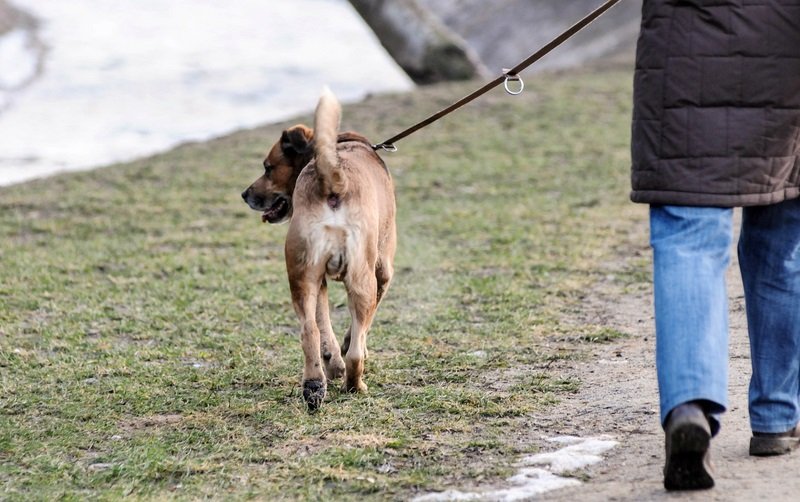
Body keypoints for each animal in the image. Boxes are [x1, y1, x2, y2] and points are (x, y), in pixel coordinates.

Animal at [241, 89, 396, 412]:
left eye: (268, 168)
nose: (244, 194)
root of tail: (334, 180)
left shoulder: (321, 279)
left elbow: (324, 325)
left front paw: (331, 363)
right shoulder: (384, 271)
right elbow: (359, 329)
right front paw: (345, 353)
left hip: (302, 275)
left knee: (309, 329)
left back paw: (314, 385)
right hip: (363, 276)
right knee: (355, 350)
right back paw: (354, 385)